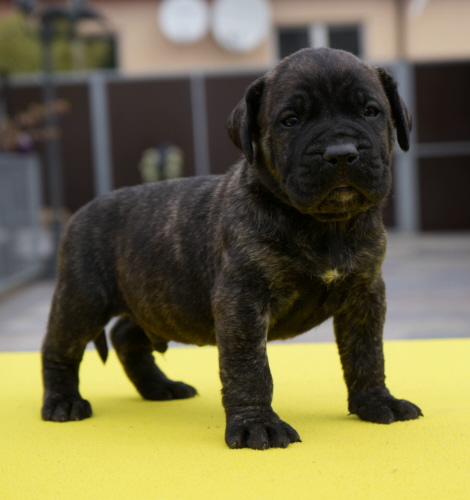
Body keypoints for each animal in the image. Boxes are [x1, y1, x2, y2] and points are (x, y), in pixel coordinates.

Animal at [41, 48, 422, 450]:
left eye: (371, 111)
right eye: (290, 120)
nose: (341, 153)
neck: (325, 225)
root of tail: (82, 211)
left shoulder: (364, 294)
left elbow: (367, 353)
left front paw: (376, 402)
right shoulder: (243, 299)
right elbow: (249, 366)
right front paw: (258, 424)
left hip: (153, 301)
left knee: (126, 335)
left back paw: (160, 387)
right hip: (82, 299)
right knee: (59, 348)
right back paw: (63, 401)